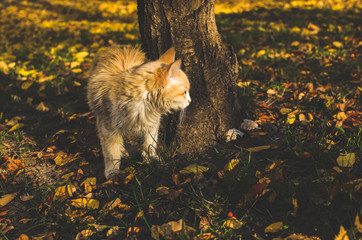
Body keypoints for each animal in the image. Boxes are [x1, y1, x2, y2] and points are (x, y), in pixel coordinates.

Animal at [87, 46, 191, 179]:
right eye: (184, 92)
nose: (190, 100)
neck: (143, 105)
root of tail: (114, 47)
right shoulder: (108, 127)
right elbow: (111, 153)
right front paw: (112, 172)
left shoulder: (152, 126)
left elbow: (149, 144)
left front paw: (150, 160)